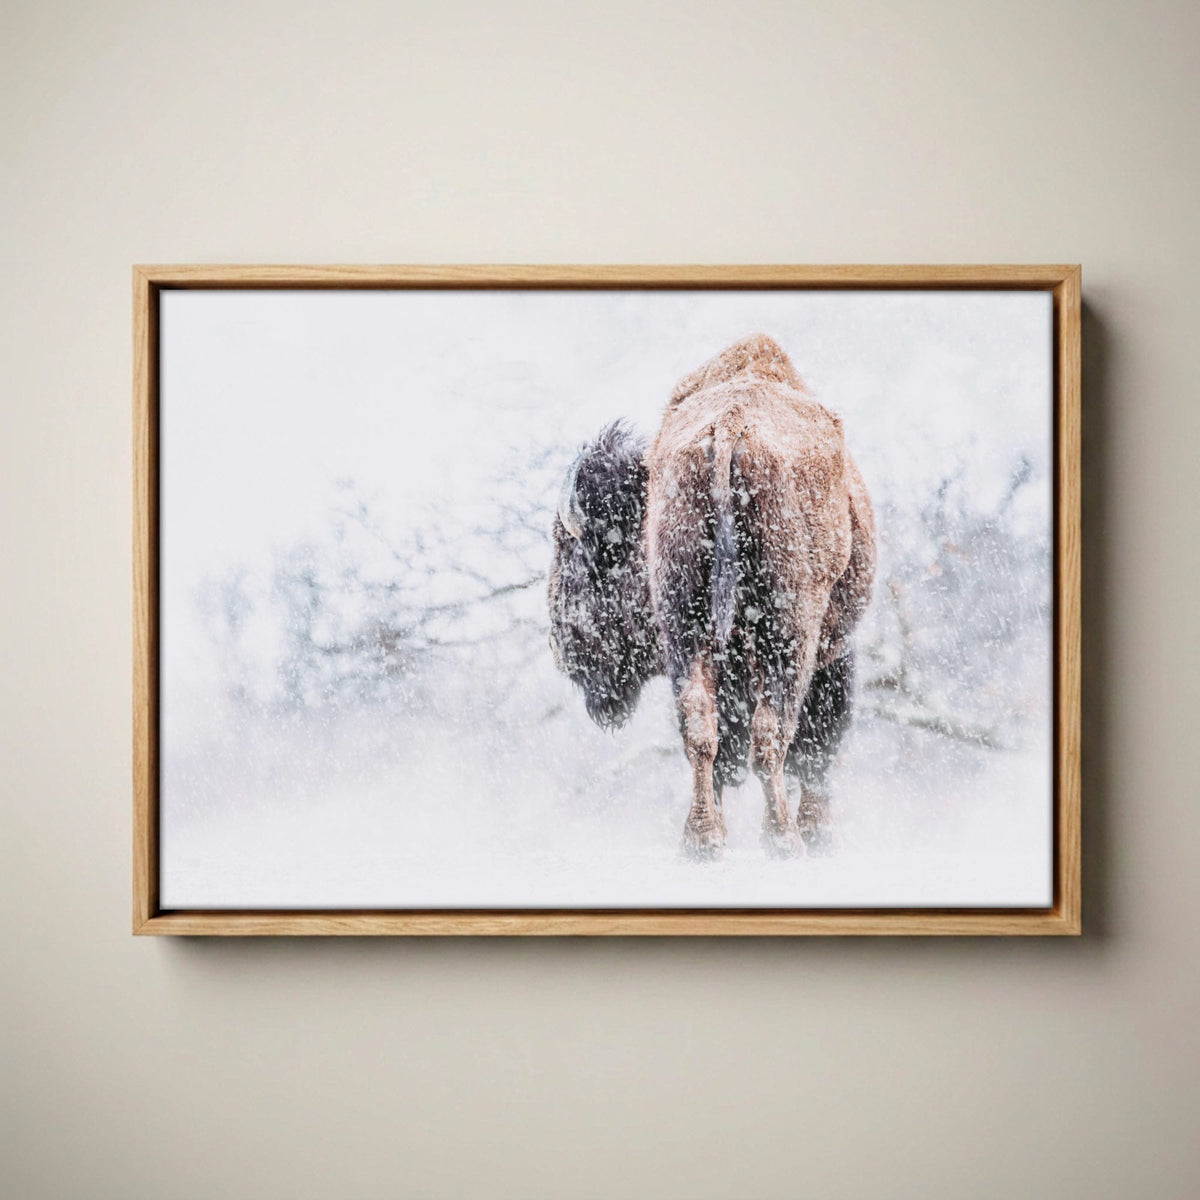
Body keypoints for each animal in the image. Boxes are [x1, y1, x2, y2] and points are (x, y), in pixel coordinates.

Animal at [548, 335, 875, 858]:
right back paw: (782, 840)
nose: (563, 649)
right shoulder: (830, 653)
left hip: (689, 628)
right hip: (787, 634)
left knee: (702, 728)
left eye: (574, 557)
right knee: (771, 734)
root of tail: (729, 427)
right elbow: (814, 743)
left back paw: (703, 840)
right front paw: (817, 831)